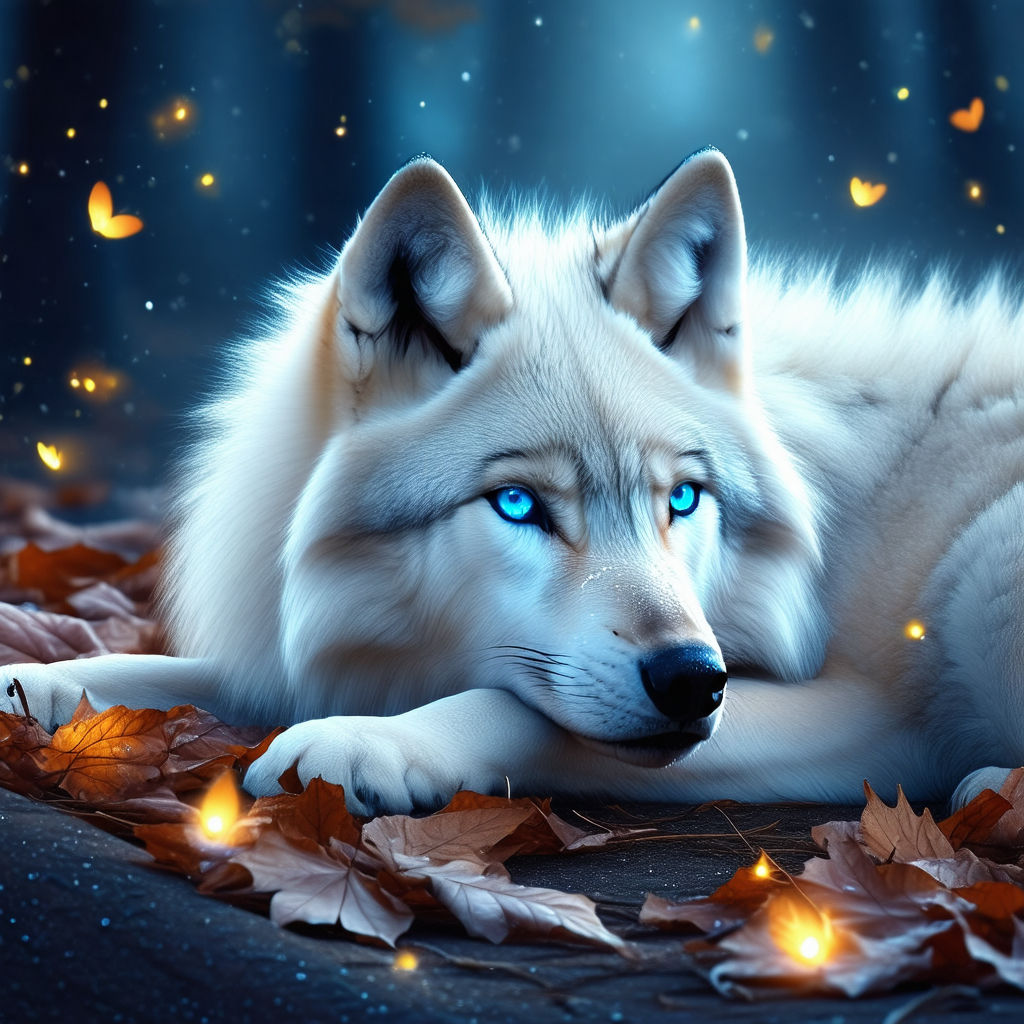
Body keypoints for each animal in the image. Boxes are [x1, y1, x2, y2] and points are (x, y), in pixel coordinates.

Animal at [4, 149, 1022, 815]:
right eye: (520, 504)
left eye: (681, 500)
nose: (695, 680)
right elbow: (156, 673)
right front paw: (35, 683)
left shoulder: (875, 714)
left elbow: (516, 707)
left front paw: (374, 741)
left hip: (981, 577)